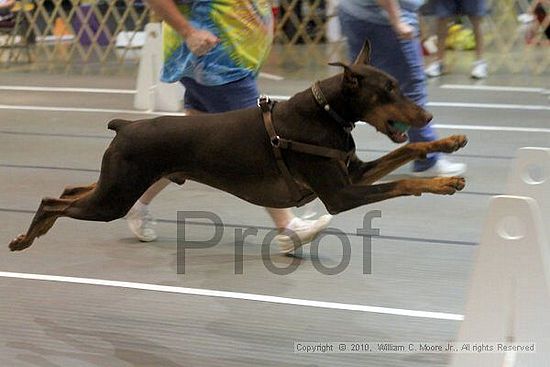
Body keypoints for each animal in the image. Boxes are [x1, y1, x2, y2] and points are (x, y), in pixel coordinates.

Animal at [8, 41, 466, 253]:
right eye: (387, 91)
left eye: (398, 85)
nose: (426, 116)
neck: (326, 113)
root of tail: (125, 126)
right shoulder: (342, 193)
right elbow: (404, 182)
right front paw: (445, 184)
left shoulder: (352, 173)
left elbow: (403, 154)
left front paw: (450, 141)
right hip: (115, 196)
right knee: (54, 200)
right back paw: (26, 238)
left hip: (118, 183)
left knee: (69, 190)